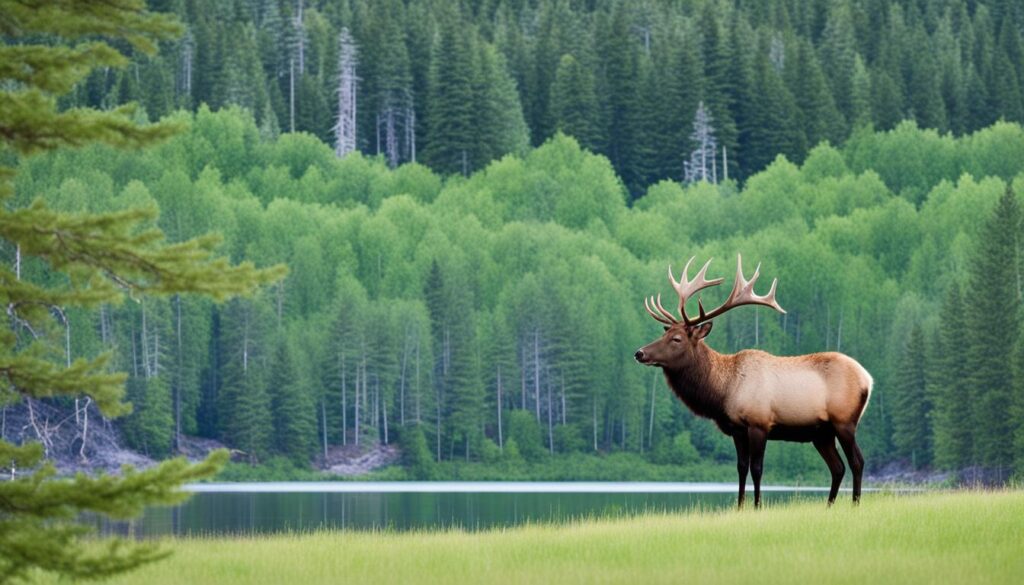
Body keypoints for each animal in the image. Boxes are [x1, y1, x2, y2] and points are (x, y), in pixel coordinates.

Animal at [630, 256, 872, 508]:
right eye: (663, 334)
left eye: (676, 339)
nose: (640, 353)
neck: (722, 392)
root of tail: (868, 379)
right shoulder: (737, 429)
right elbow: (741, 468)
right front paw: (739, 506)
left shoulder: (759, 423)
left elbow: (757, 469)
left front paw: (757, 505)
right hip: (821, 433)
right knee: (837, 467)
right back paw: (829, 504)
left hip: (844, 421)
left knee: (857, 461)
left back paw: (855, 503)